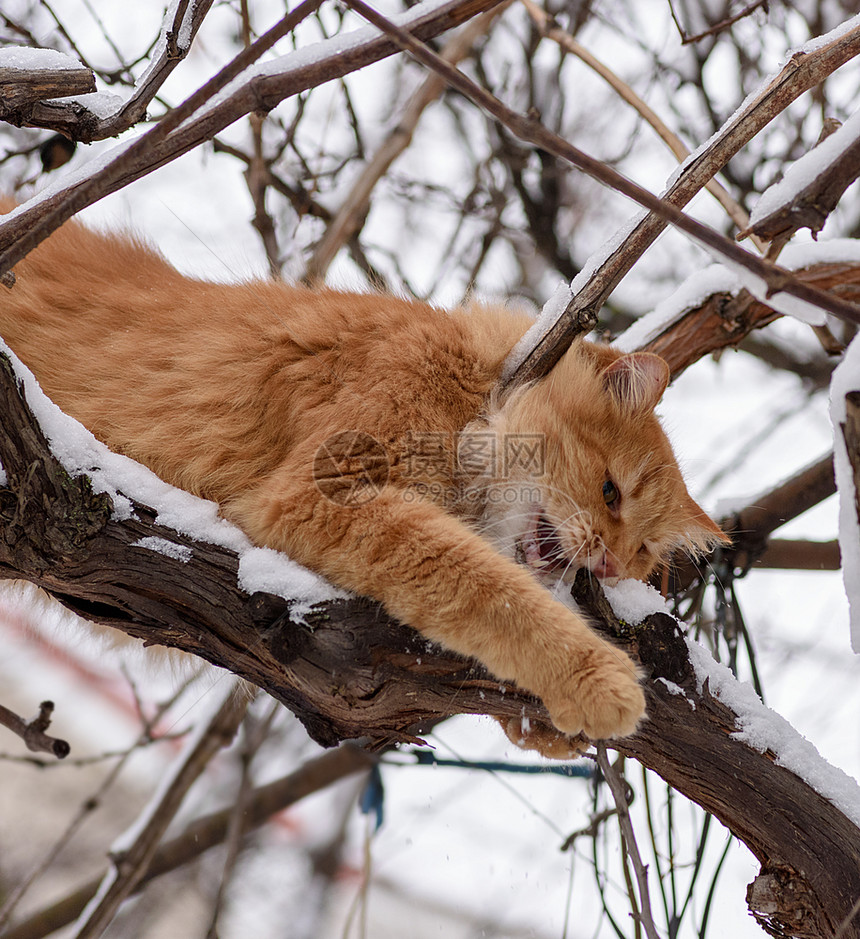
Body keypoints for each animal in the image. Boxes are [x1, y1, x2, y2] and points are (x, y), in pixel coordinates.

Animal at [0, 202, 724, 752]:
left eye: (643, 553)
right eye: (610, 492)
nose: (610, 563)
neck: (468, 382)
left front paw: (547, 728)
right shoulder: (326, 494)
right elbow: (491, 592)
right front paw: (598, 680)